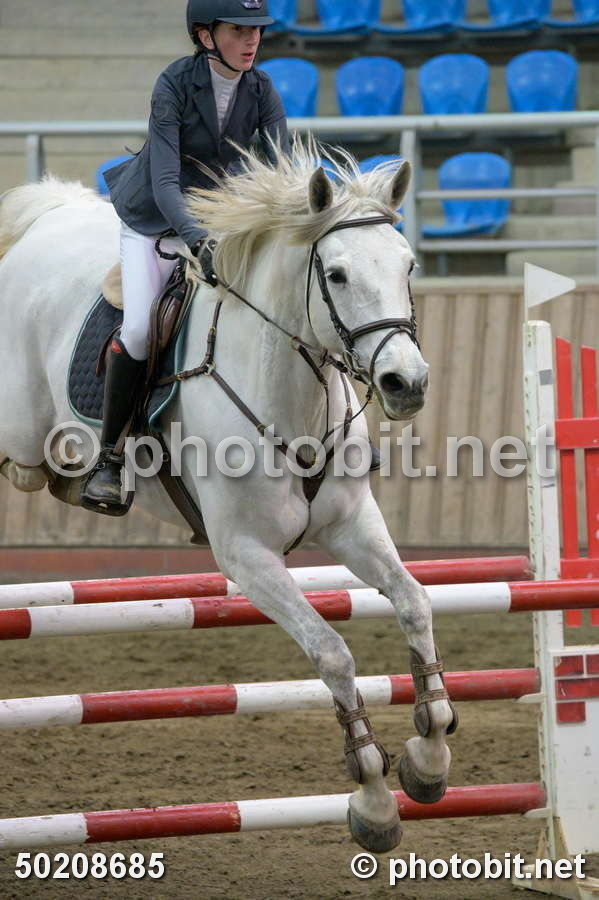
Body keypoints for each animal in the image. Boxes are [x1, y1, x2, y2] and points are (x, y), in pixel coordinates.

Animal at [0, 139, 456, 853]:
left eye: (408, 265)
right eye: (337, 276)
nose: (405, 383)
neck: (290, 391)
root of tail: (48, 213)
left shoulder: (352, 526)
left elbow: (414, 603)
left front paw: (429, 758)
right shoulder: (246, 557)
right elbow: (332, 650)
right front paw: (374, 798)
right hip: (17, 433)